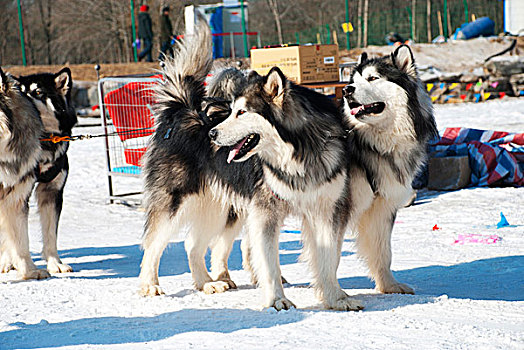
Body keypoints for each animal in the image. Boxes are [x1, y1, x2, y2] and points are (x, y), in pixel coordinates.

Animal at [342, 44, 436, 296]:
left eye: (372, 78)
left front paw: (388, 286)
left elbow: (382, 251)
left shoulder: (381, 207)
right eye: (353, 81)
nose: (346, 90)